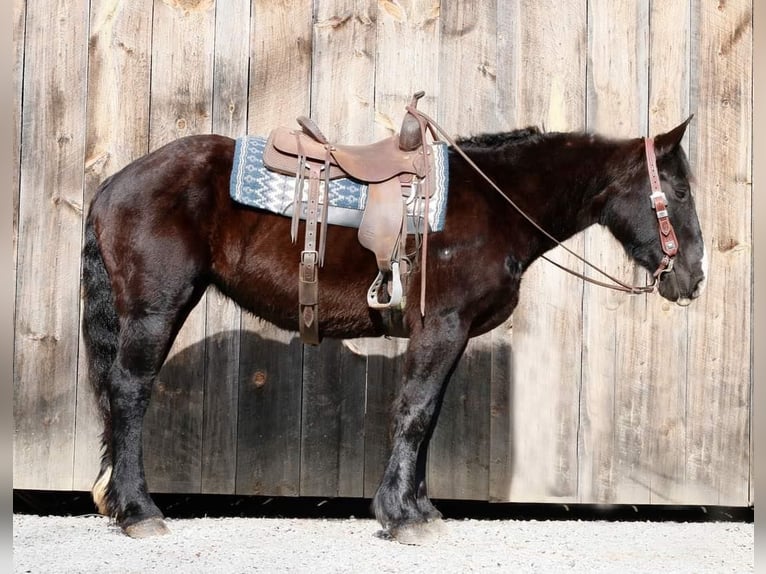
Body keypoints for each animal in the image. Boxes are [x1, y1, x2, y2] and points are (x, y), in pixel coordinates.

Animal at [79, 113, 708, 544]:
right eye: (678, 191)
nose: (695, 277)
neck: (496, 203)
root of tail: (115, 185)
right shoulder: (443, 326)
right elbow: (415, 411)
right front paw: (401, 516)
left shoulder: (449, 334)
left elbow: (427, 416)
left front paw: (420, 507)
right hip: (157, 308)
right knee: (129, 393)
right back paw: (139, 511)